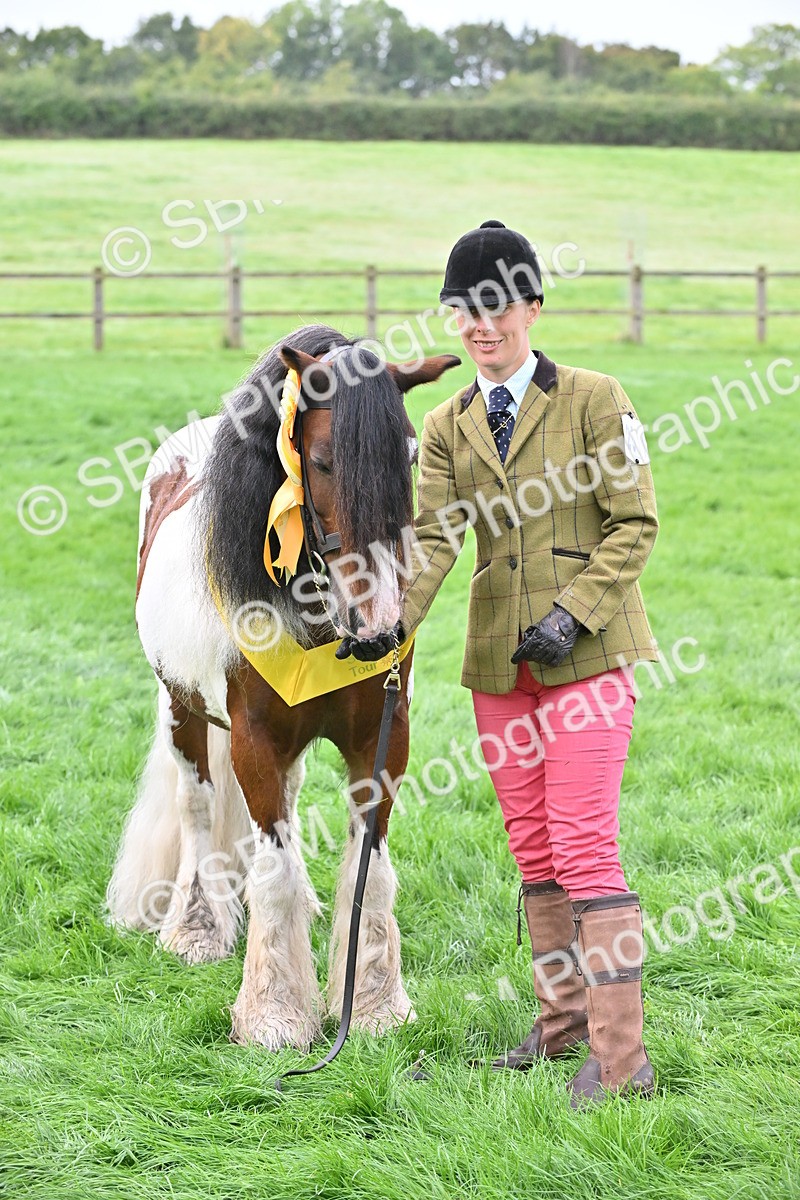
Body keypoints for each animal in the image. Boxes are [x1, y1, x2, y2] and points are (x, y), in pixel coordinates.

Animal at [106, 323, 460, 1051]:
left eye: (411, 456)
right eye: (320, 462)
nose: (379, 630)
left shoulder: (382, 739)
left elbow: (367, 870)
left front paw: (374, 1003)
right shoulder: (253, 741)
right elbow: (271, 873)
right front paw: (275, 1013)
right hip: (181, 709)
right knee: (197, 808)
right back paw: (197, 925)